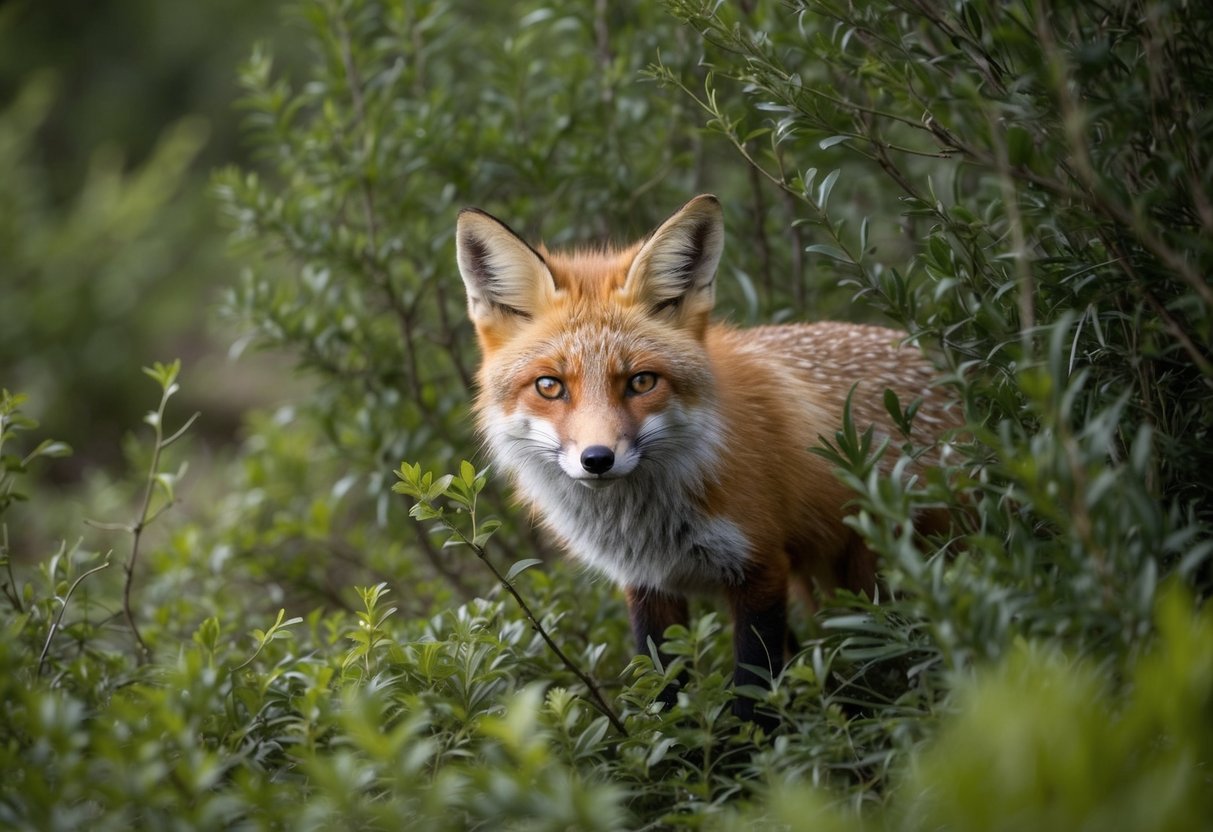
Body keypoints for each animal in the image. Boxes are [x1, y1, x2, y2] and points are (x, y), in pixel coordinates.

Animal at [454, 194, 954, 723]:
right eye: (550, 386)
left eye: (641, 382)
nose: (597, 459)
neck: (650, 528)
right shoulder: (648, 587)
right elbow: (663, 694)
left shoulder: (760, 567)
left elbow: (754, 694)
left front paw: (753, 744)